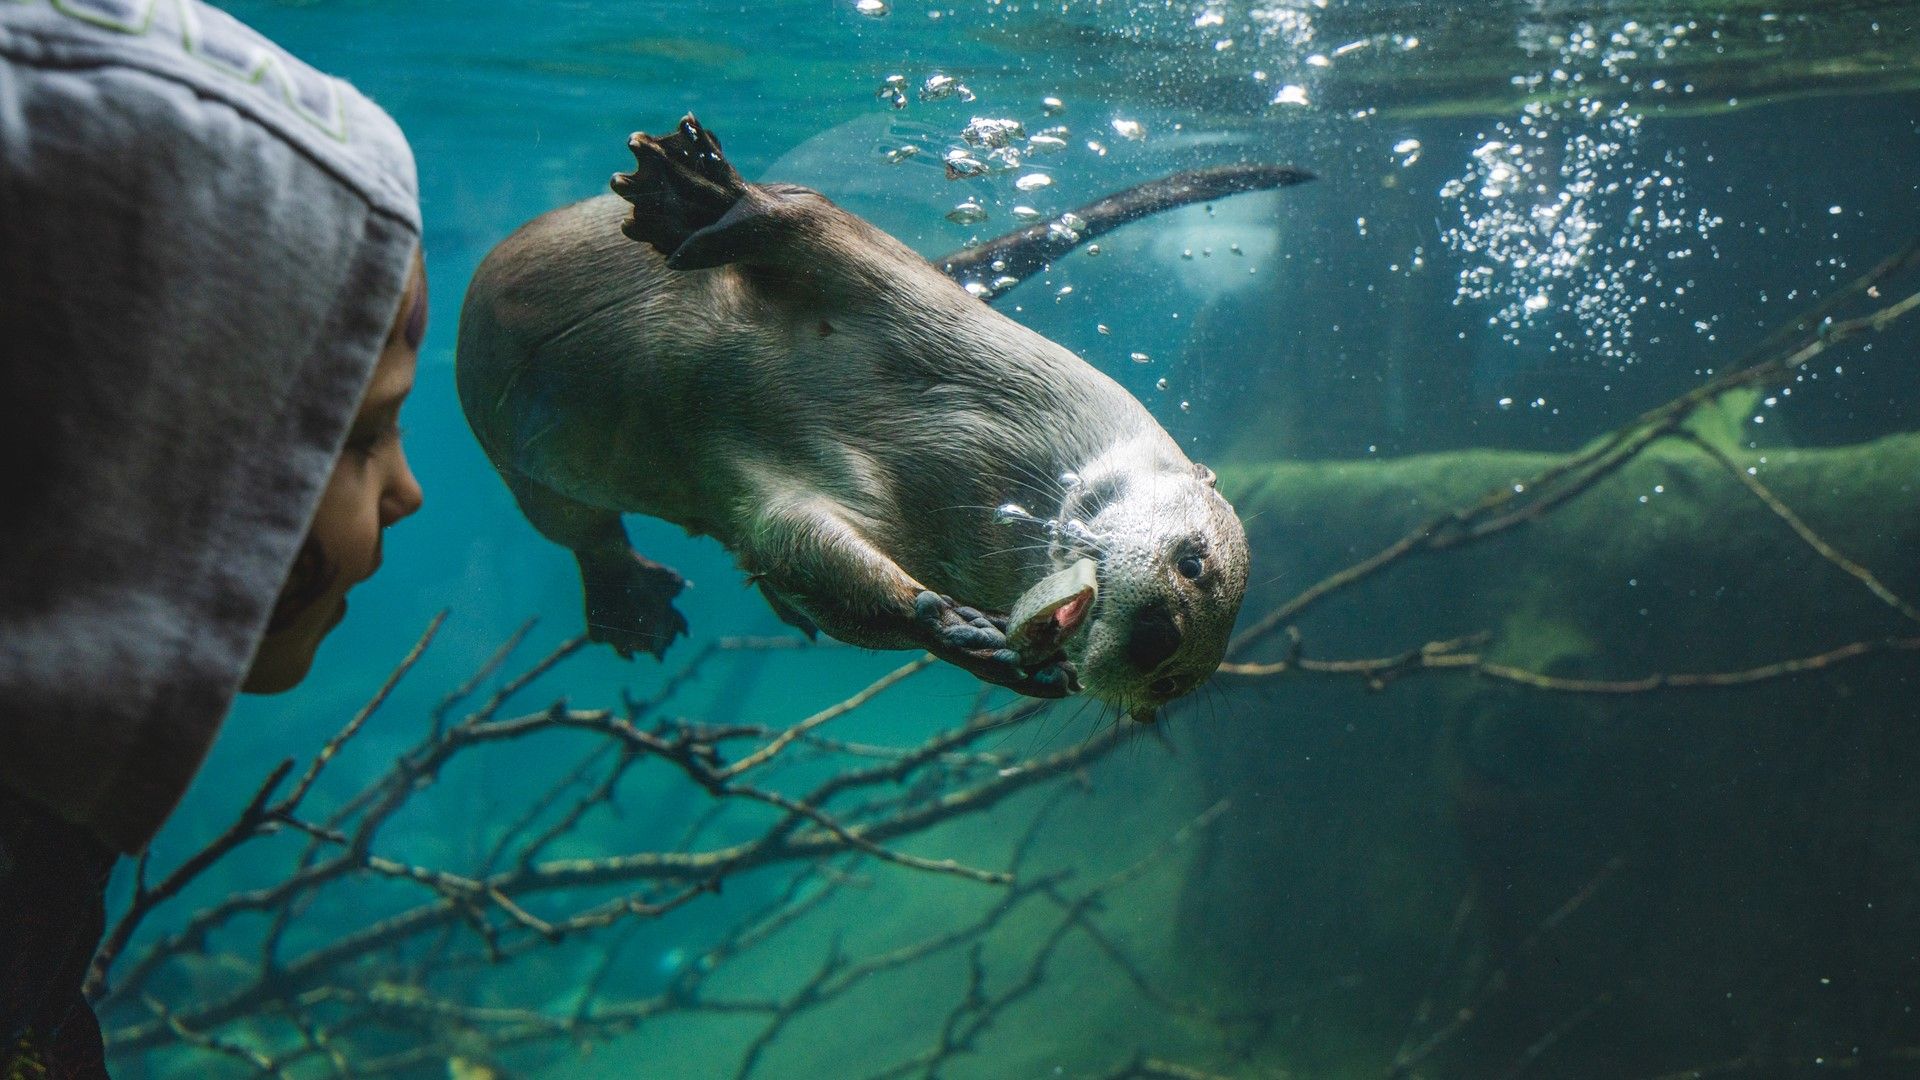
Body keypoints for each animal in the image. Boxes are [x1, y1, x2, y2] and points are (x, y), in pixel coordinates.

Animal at [458, 116, 1280, 716]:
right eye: (1194, 562)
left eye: (1172, 683)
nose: (1157, 640)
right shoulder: (883, 283)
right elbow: (810, 225)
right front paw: (698, 193)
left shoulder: (792, 494)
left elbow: (793, 544)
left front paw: (975, 642)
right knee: (577, 526)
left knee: (593, 535)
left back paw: (635, 608)